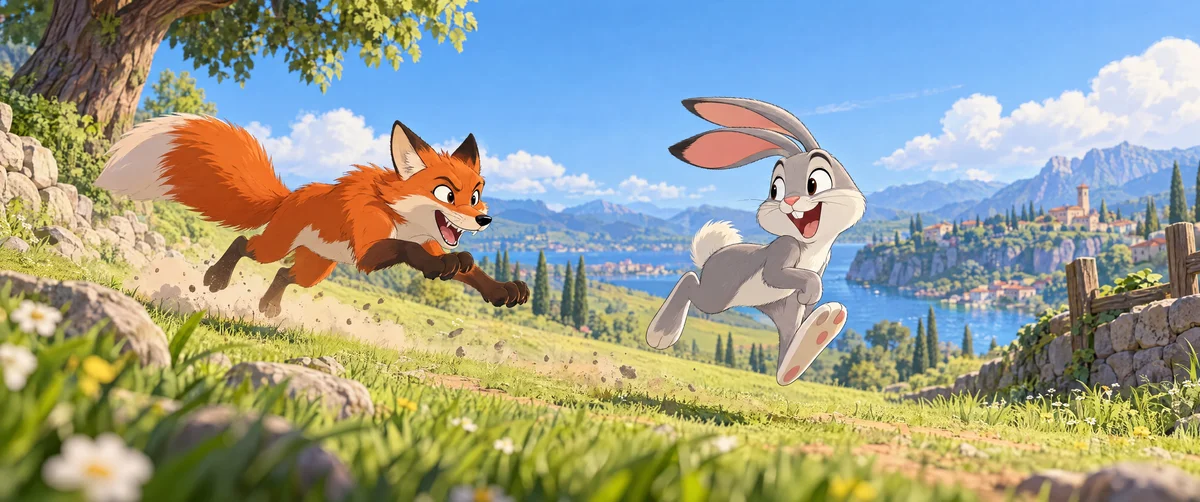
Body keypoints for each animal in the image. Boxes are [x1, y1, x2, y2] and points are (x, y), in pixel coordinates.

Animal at [94, 114, 529, 317]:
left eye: (477, 195)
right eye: (447, 194)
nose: (485, 221)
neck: (401, 216)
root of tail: (289, 195)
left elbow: (473, 271)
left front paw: (503, 290)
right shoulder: (370, 251)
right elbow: (412, 252)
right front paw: (446, 266)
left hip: (316, 269)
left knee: (285, 274)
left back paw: (268, 307)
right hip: (277, 247)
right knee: (245, 244)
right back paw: (216, 279)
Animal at [646, 97, 865, 386]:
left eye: (814, 182)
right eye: (775, 189)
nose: (789, 201)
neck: (811, 247)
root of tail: (712, 255)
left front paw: (815, 304)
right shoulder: (785, 249)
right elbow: (777, 274)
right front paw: (812, 290)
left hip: (774, 305)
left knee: (787, 339)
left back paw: (814, 337)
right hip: (718, 295)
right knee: (690, 281)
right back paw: (660, 334)